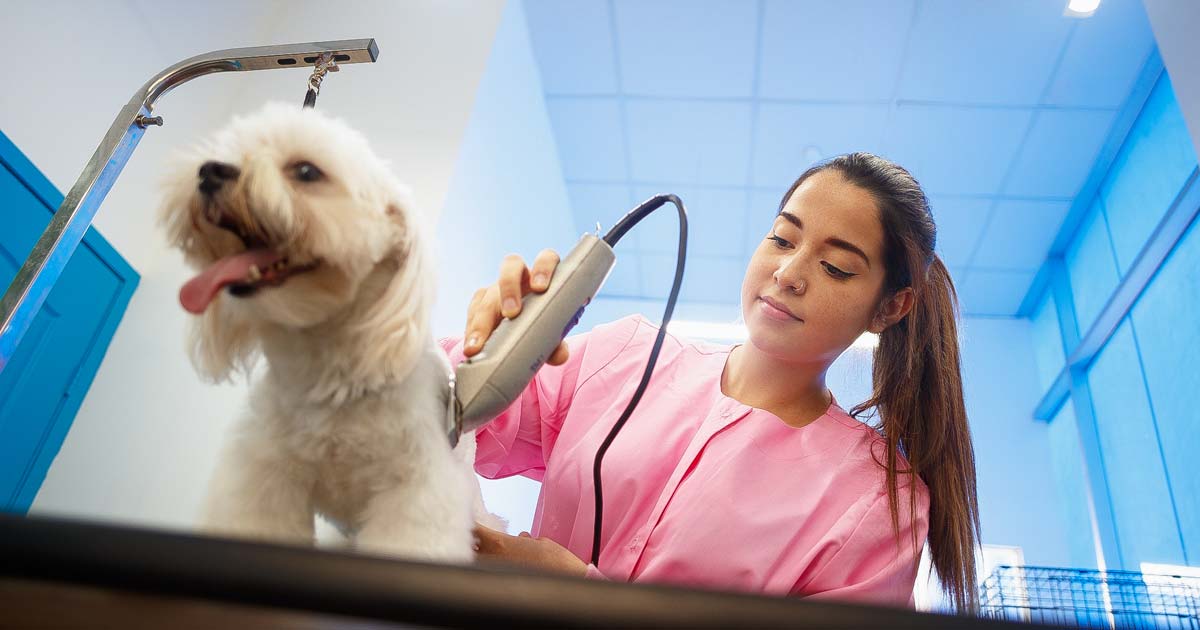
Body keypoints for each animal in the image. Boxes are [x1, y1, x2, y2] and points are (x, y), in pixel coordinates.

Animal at [160, 104, 496, 564]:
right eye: (229, 151)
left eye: (306, 171)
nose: (209, 172)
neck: (330, 369)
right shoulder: (263, 474)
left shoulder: (416, 492)